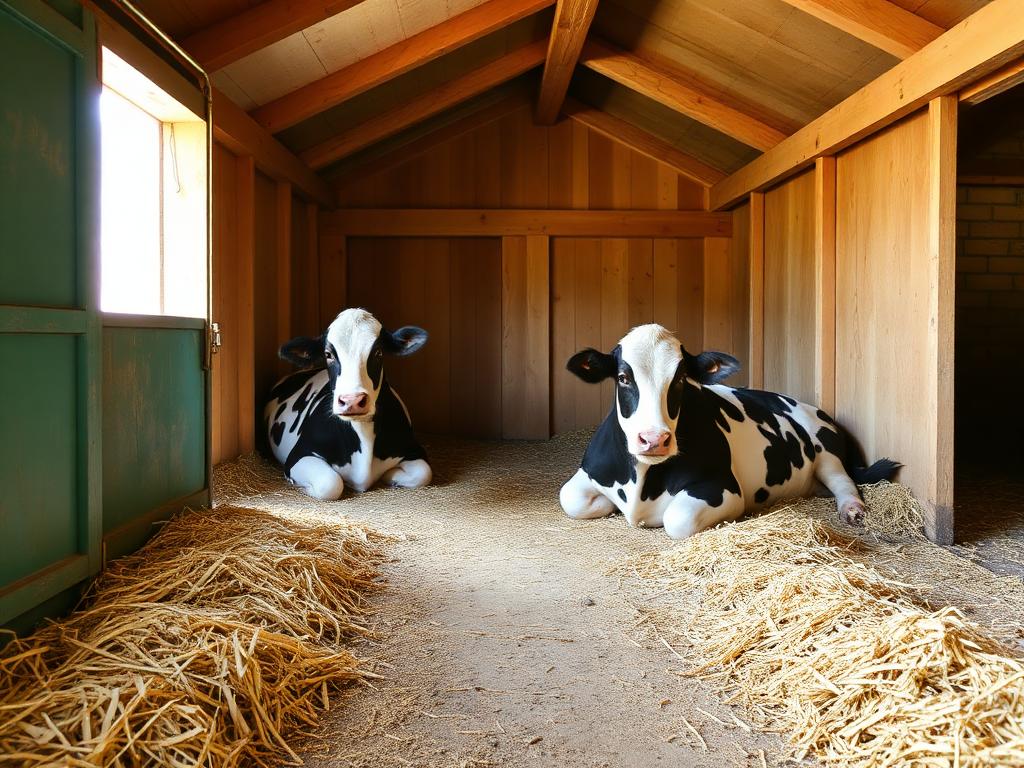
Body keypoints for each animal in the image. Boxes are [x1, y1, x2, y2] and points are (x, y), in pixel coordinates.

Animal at [263, 308, 432, 500]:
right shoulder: (300, 453)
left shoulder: (413, 449)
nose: (352, 400)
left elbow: (424, 473)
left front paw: (389, 475)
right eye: (328, 354)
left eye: (378, 352)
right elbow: (330, 483)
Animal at [559, 324, 899, 539]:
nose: (655, 439)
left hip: (826, 450)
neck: (642, 481)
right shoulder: (591, 472)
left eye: (680, 379)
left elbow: (676, 519)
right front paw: (607, 506)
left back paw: (853, 511)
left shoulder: (723, 488)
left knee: (844, 482)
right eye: (622, 378)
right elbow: (569, 497)